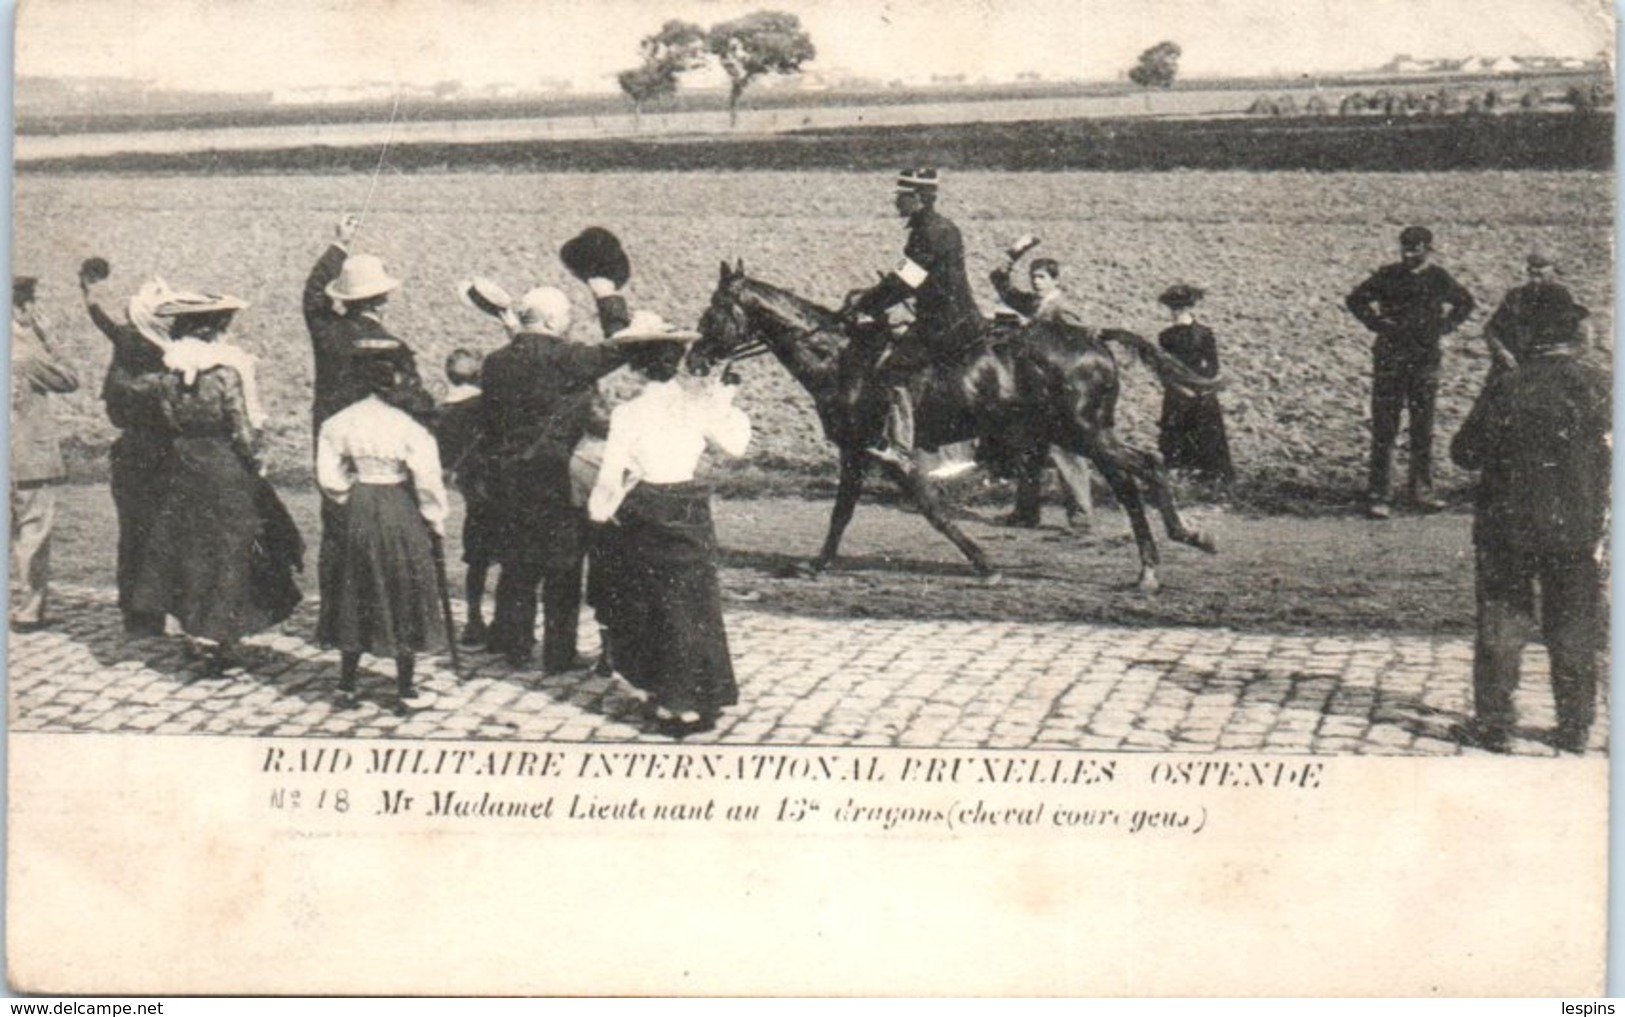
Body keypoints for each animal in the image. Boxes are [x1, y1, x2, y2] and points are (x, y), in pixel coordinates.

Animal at [689, 261, 1222, 591]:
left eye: (711, 311)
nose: (693, 359)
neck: (841, 358)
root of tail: (1091, 335)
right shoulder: (855, 451)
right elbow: (841, 513)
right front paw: (817, 564)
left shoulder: (879, 453)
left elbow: (931, 510)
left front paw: (985, 564)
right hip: (1083, 433)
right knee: (1130, 481)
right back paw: (1151, 567)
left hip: (1084, 432)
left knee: (1148, 464)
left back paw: (1183, 540)